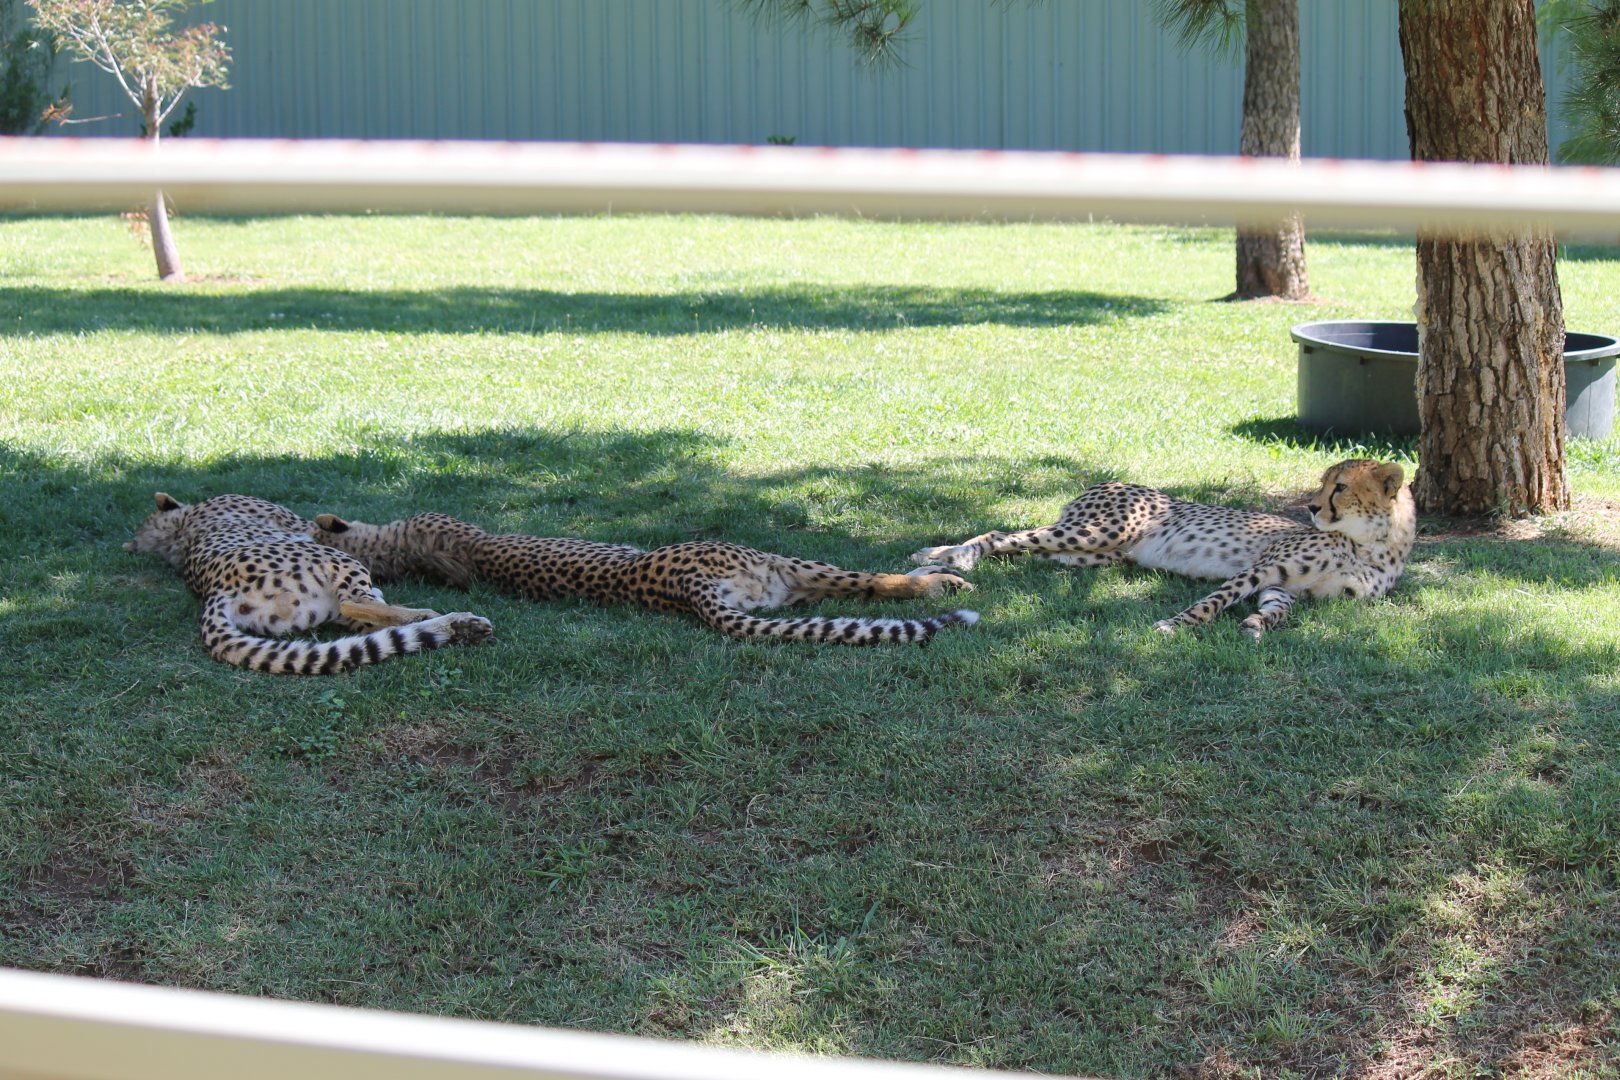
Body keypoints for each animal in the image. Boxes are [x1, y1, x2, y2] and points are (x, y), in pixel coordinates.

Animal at [125, 493, 494, 674]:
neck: (179, 529)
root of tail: (215, 593)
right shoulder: (300, 526)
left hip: (316, 608)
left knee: (371, 622)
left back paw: (457, 627)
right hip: (332, 562)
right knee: (356, 603)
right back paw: (435, 617)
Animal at [910, 458, 1415, 639]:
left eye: (1341, 487)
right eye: (1326, 482)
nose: (1311, 506)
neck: (1373, 546)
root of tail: (1107, 480)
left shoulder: (1286, 586)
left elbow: (1276, 610)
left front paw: (1256, 625)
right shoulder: (1259, 570)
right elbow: (1211, 602)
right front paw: (1173, 625)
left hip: (1088, 552)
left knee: (1022, 549)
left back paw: (930, 564)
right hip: (1096, 533)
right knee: (1000, 536)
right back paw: (947, 560)